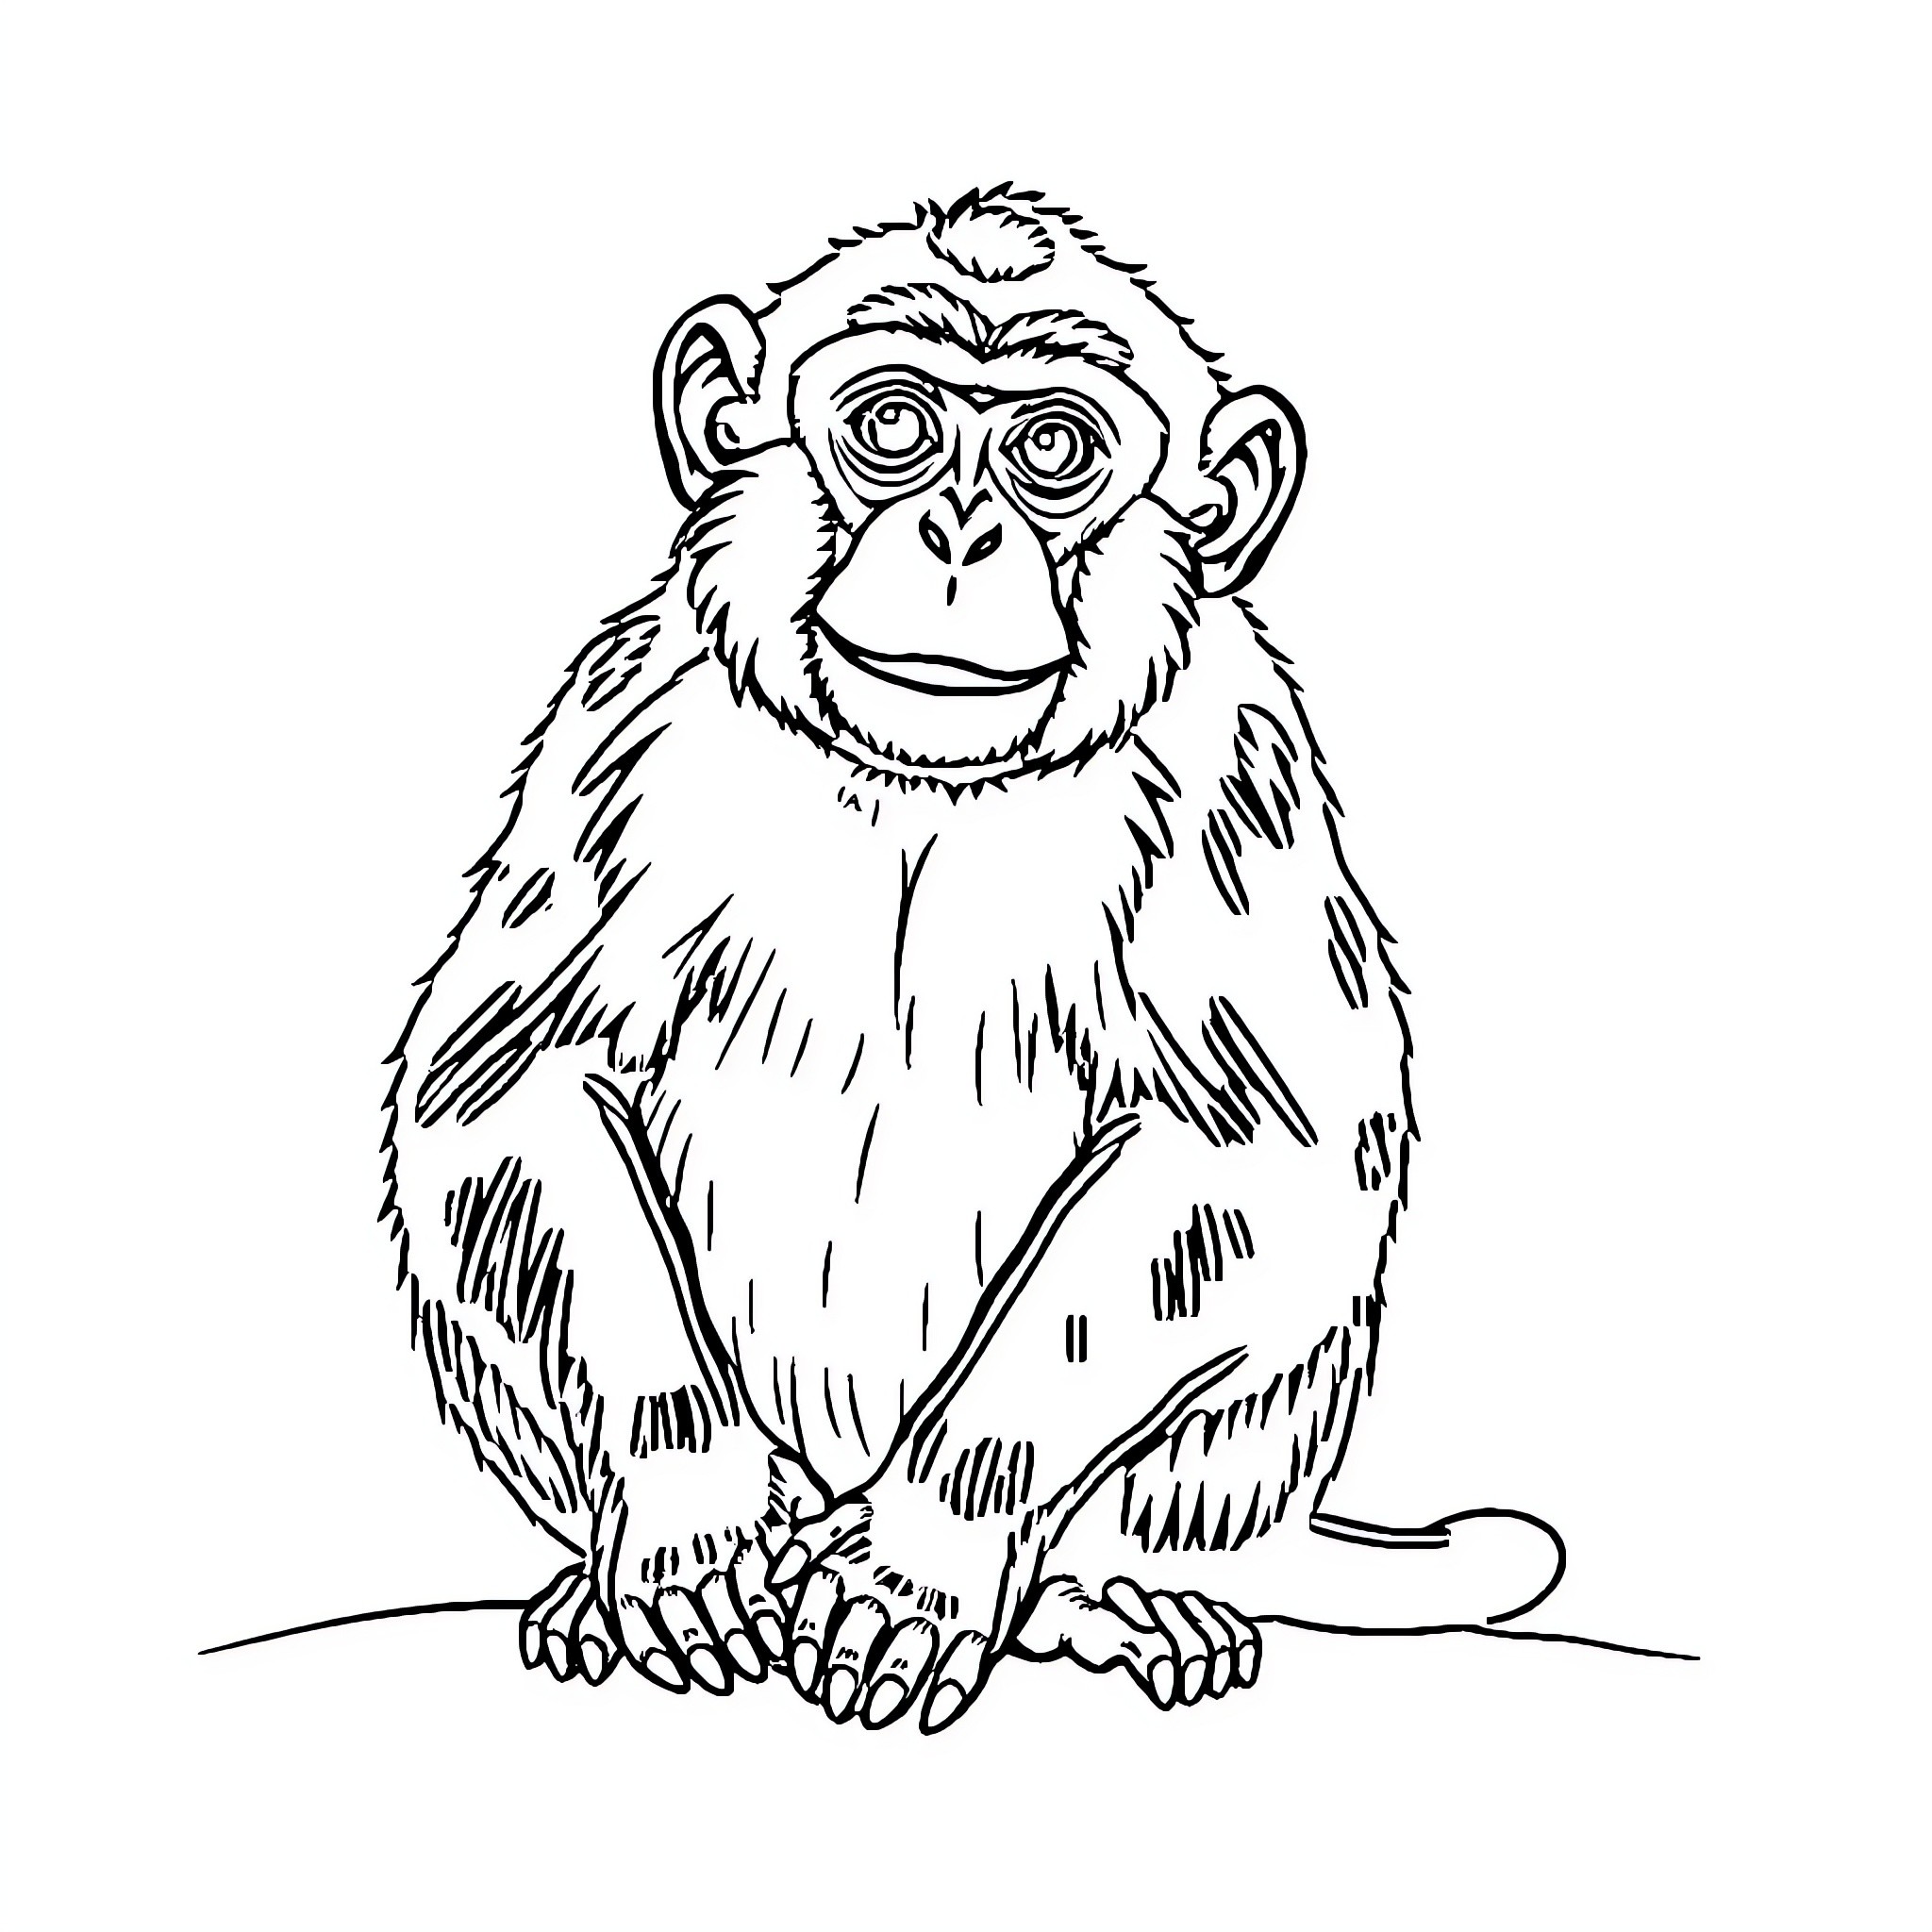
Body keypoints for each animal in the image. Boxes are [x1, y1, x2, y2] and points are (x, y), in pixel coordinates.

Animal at [380, 186, 1562, 1732]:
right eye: (894, 425)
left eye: (1051, 451)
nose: (956, 531)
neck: (918, 790)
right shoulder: (626, 723)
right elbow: (507, 1088)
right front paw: (695, 1510)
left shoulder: (1233, 768)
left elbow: (1255, 1157)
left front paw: (919, 1553)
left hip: (1207, 1482)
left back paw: (1099, 1599)